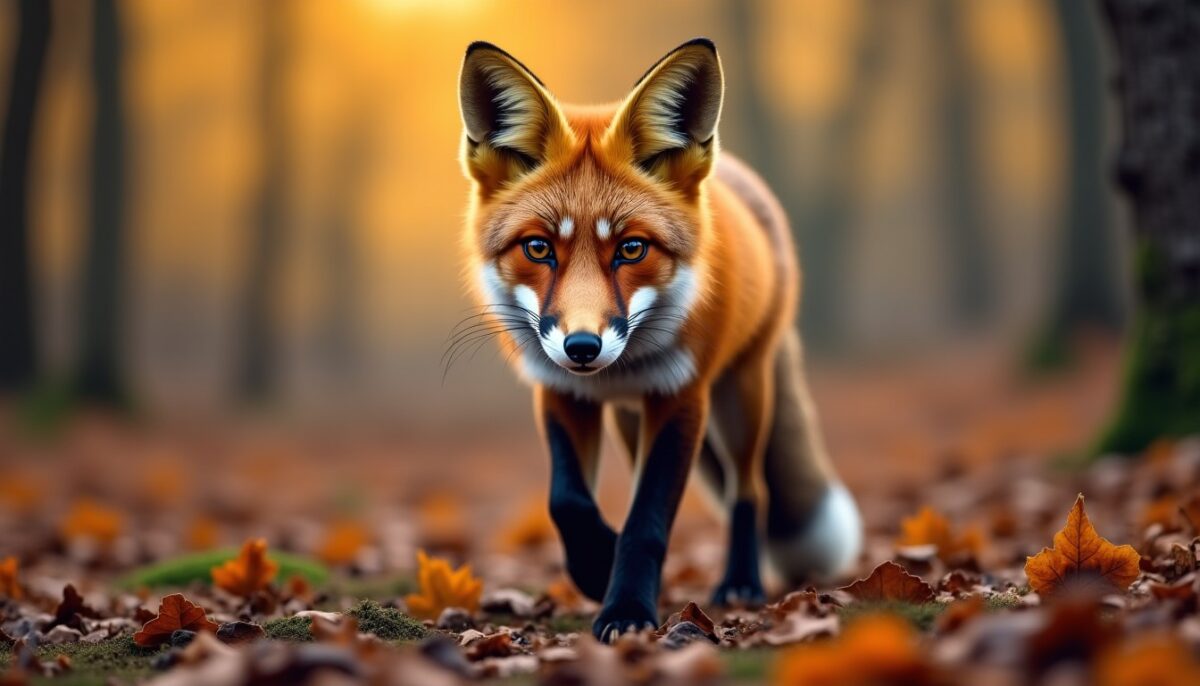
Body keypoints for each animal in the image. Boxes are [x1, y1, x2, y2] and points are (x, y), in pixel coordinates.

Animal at [455, 38, 862, 641]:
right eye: (538, 248)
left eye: (631, 249)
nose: (582, 347)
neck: (616, 372)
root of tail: (739, 171)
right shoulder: (560, 392)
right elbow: (568, 501)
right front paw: (596, 566)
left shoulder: (680, 396)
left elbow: (646, 521)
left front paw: (626, 609)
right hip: (632, 419)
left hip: (741, 397)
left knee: (750, 490)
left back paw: (740, 583)